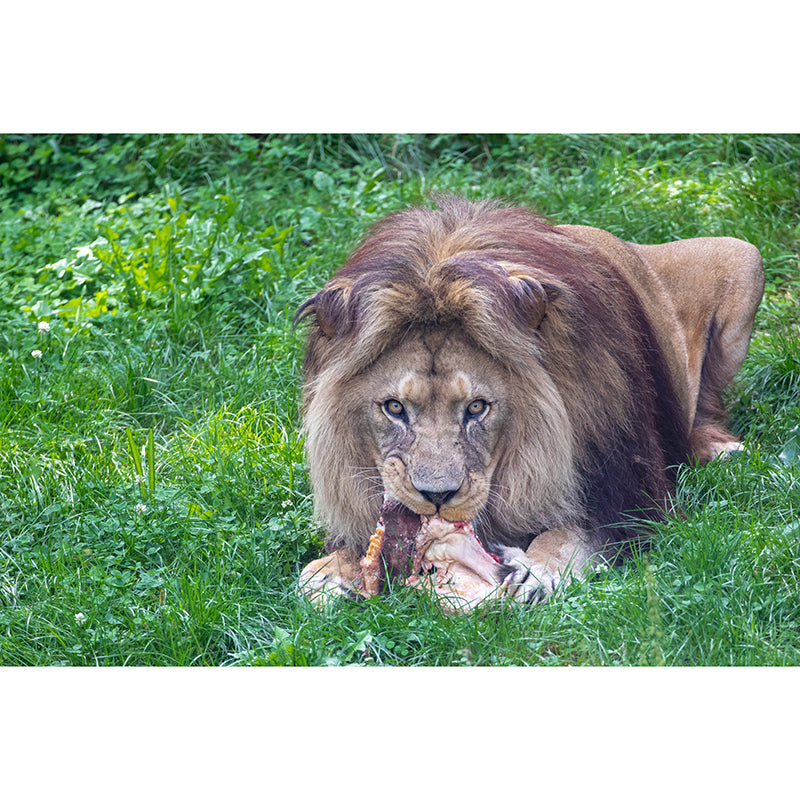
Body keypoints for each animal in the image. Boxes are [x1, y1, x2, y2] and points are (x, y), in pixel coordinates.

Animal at [294, 195, 764, 606]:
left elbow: (567, 536)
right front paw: (330, 576)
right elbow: (323, 566)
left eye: (476, 408)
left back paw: (722, 450)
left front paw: (537, 569)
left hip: (745, 257)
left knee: (707, 406)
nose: (437, 496)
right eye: (394, 408)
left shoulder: (626, 501)